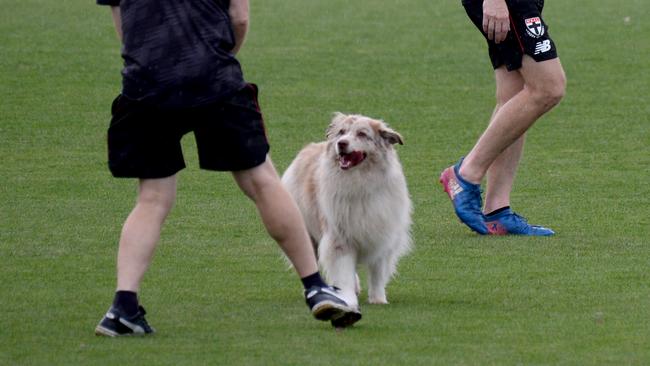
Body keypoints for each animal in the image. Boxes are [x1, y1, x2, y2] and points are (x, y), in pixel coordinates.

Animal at [280, 112, 410, 308]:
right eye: (341, 132)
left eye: (362, 134)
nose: (341, 143)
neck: (360, 182)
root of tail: (309, 147)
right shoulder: (339, 239)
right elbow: (343, 273)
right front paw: (347, 298)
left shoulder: (381, 236)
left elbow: (377, 274)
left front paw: (378, 299)